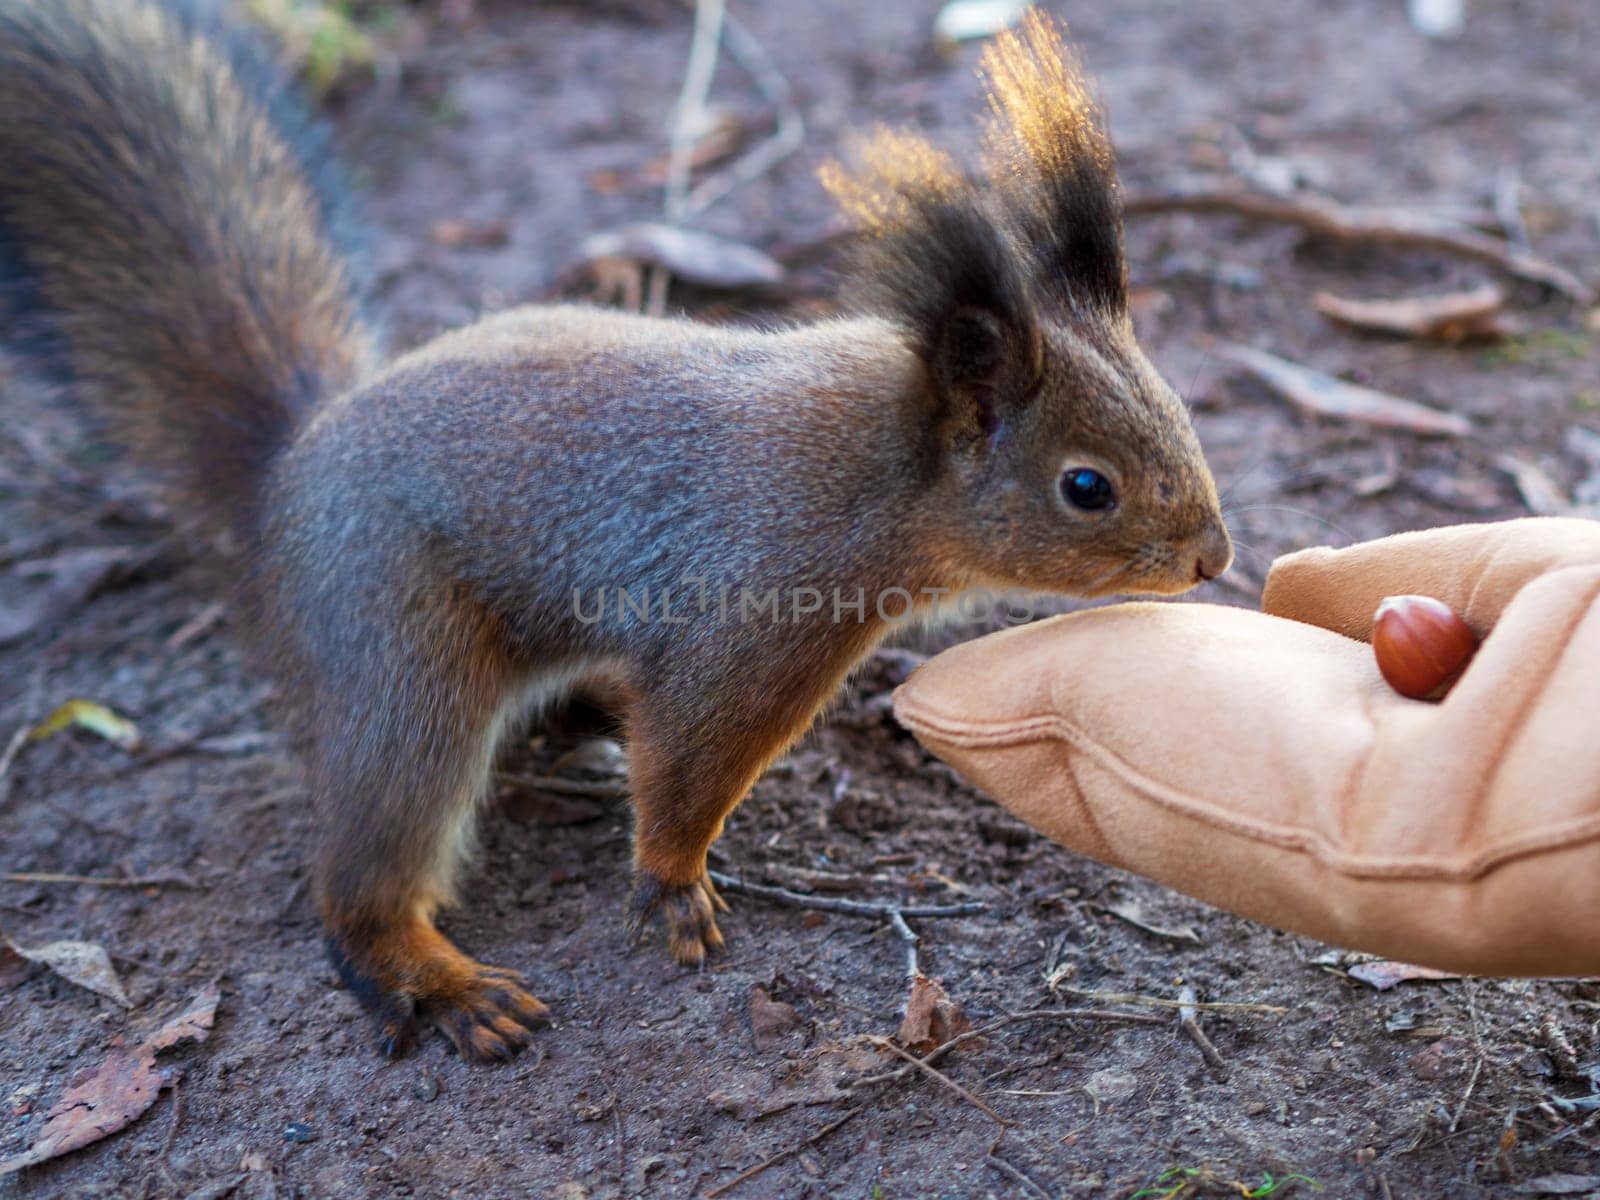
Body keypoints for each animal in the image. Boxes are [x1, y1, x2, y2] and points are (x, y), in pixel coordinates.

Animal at [0, 0, 1235, 1062]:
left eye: (1182, 412)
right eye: (1087, 487)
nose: (1213, 558)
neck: (876, 474)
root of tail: (284, 480)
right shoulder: (750, 618)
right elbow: (686, 760)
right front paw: (673, 882)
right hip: (398, 642)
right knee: (366, 860)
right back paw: (437, 981)